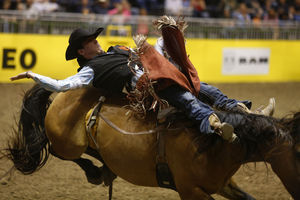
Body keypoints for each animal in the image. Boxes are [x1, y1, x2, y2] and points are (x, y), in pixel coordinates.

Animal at [4, 84, 300, 198]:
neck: (217, 143)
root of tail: (64, 90)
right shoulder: (191, 191)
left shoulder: (224, 185)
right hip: (67, 143)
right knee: (54, 148)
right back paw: (95, 173)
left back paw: (105, 170)